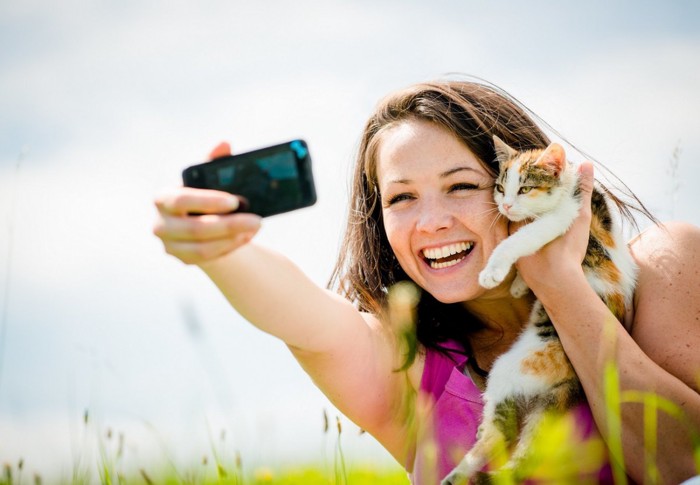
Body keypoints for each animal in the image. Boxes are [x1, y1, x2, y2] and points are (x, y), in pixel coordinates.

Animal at [442, 134, 640, 482]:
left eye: (524, 189)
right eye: (500, 187)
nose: (506, 206)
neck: (569, 187)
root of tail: (566, 386)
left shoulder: (563, 217)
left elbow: (518, 239)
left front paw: (495, 272)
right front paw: (520, 284)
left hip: (506, 371)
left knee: (502, 434)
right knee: (502, 431)